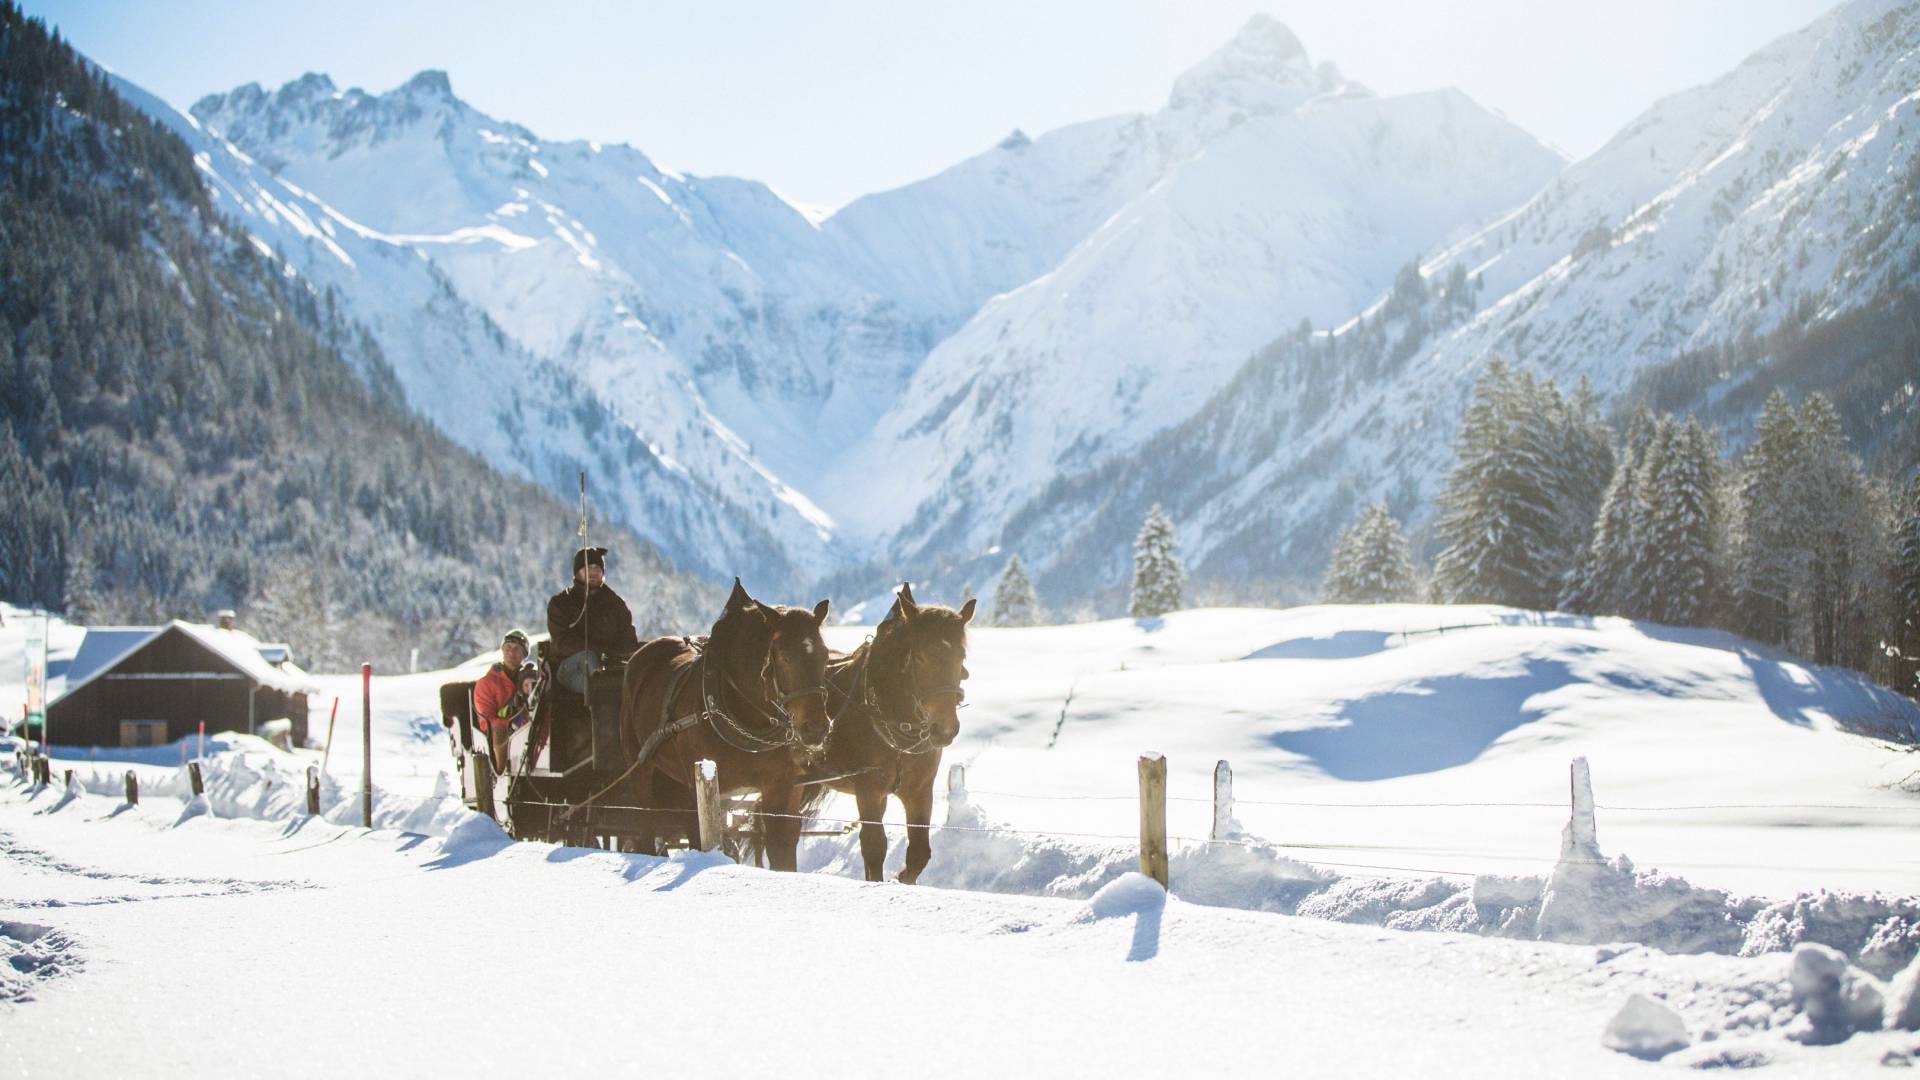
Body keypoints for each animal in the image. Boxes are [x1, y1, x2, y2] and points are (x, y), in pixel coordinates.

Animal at [614, 576, 825, 868]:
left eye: (825, 655)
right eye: (785, 657)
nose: (816, 728)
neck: (747, 716)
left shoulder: (780, 786)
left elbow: (780, 849)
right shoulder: (706, 788)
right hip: (642, 770)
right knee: (650, 826)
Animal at [798, 584, 975, 880]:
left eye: (960, 656)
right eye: (920, 656)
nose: (944, 729)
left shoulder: (919, 791)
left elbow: (918, 854)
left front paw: (901, 878)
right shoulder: (868, 787)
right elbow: (874, 847)